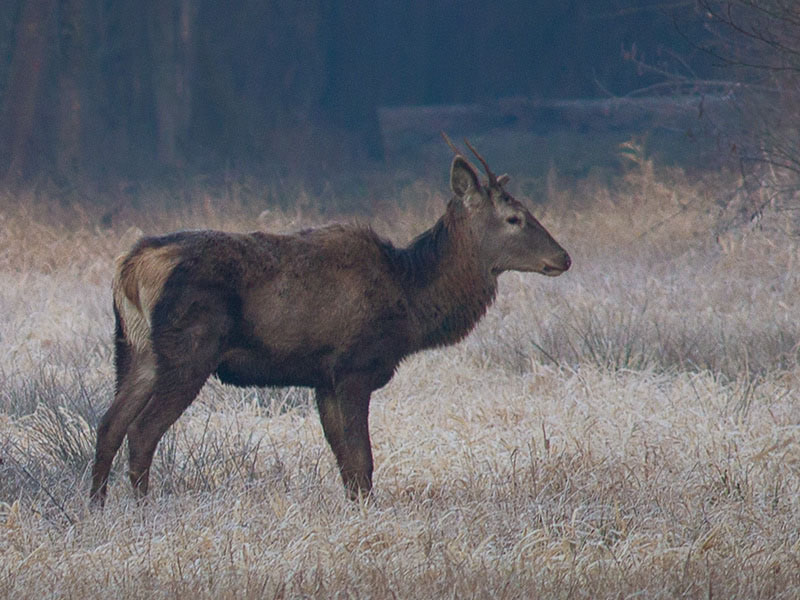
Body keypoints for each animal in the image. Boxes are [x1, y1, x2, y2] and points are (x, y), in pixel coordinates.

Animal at [90, 134, 572, 504]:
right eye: (514, 218)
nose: (563, 257)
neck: (411, 302)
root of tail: (132, 266)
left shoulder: (322, 377)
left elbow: (345, 463)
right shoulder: (355, 366)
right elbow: (362, 458)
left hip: (136, 350)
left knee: (109, 424)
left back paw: (97, 507)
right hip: (190, 349)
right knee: (141, 431)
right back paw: (143, 509)